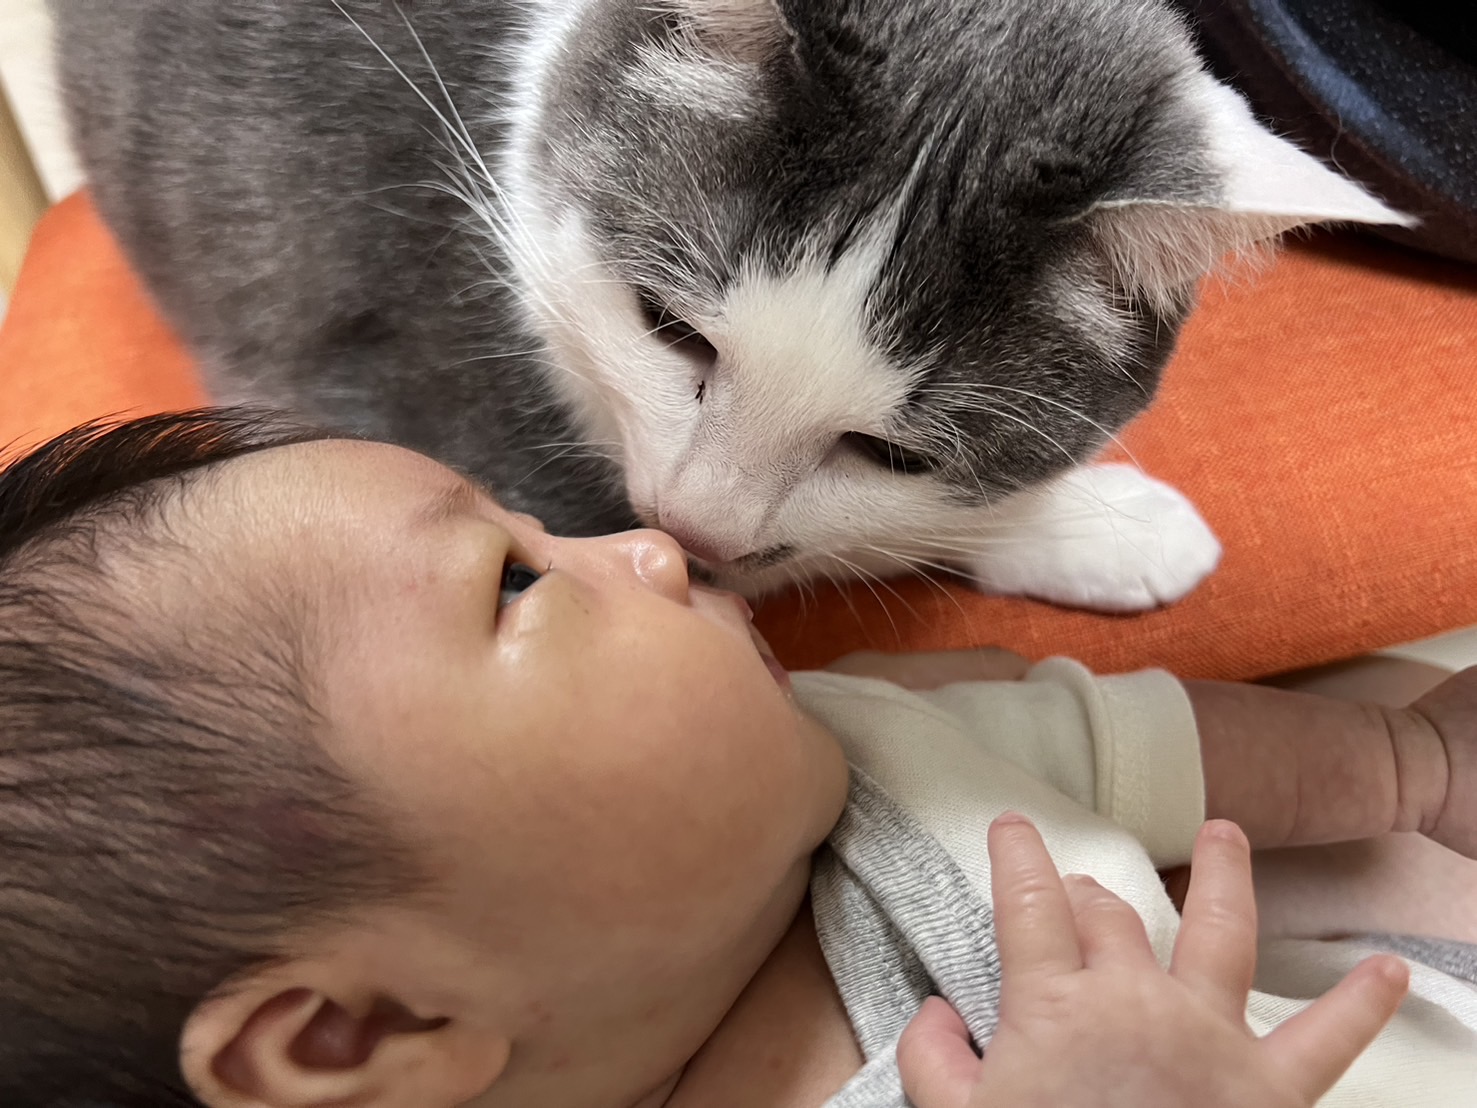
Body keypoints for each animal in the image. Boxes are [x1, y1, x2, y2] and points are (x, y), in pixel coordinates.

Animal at [49, 0, 1406, 608]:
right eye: (667, 327)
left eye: (889, 448)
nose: (697, 519)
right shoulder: (385, 354)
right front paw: (1107, 526)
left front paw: (1091, 520)